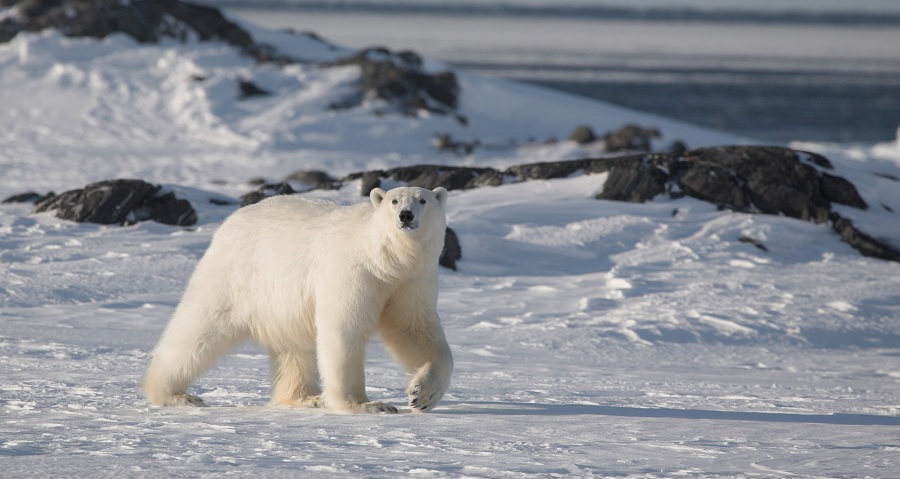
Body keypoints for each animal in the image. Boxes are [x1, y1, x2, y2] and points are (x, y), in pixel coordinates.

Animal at [144, 187, 454, 412]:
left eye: (423, 200)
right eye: (394, 200)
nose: (406, 215)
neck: (383, 260)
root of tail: (229, 223)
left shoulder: (410, 281)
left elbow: (412, 328)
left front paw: (421, 395)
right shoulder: (352, 273)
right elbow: (343, 329)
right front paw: (368, 405)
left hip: (283, 306)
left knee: (293, 349)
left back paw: (306, 398)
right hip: (235, 275)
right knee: (199, 328)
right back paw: (174, 394)